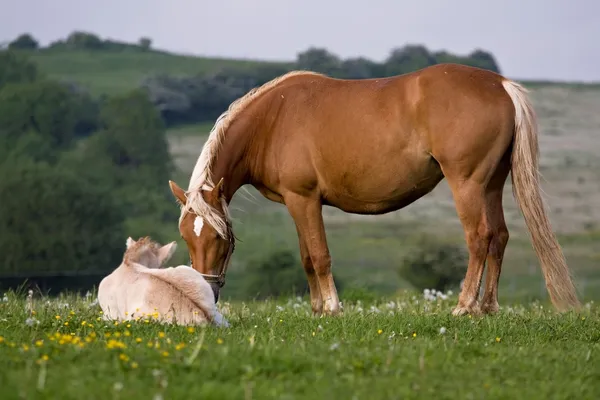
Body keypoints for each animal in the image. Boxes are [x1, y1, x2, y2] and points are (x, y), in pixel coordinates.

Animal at [166, 63, 580, 316]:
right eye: (187, 237)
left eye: (219, 239)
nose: (204, 294)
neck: (273, 118)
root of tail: (500, 84)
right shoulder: (296, 204)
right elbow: (306, 256)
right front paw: (316, 310)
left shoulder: (305, 199)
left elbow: (320, 256)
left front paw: (332, 309)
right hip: (492, 184)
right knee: (500, 237)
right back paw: (488, 307)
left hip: (468, 183)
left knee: (480, 237)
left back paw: (464, 306)